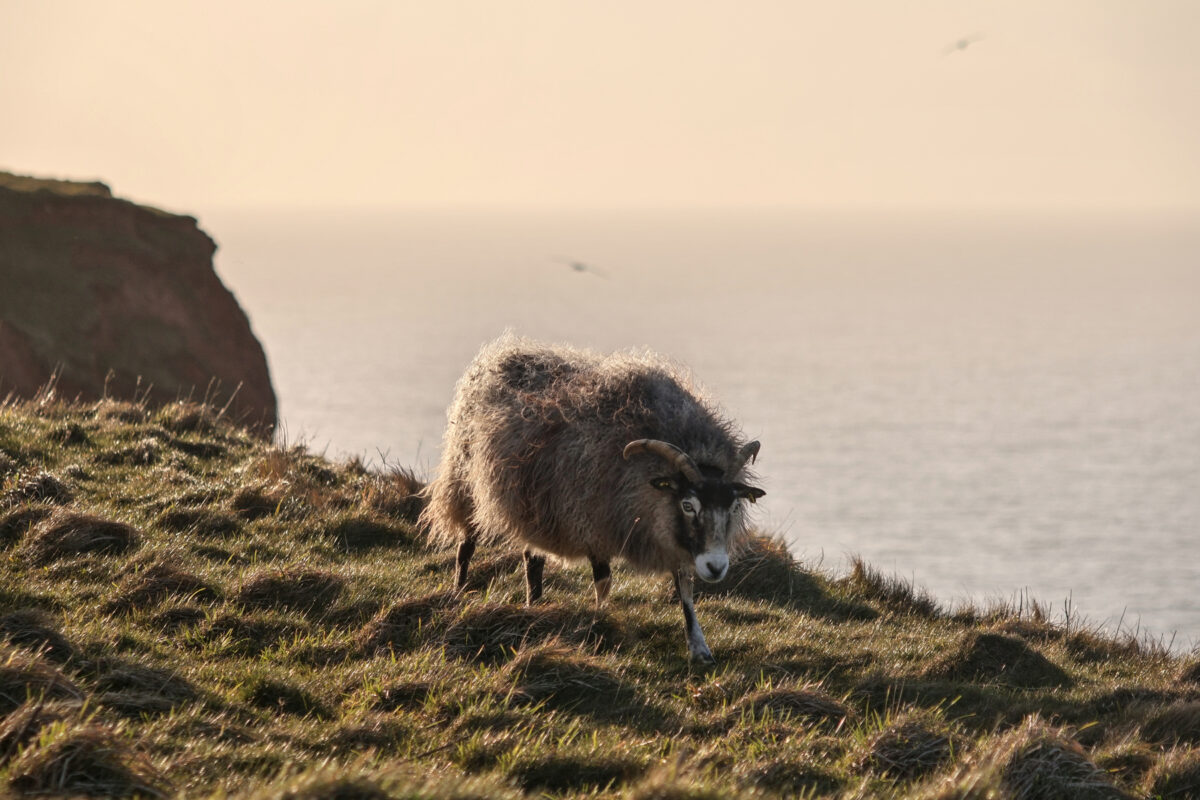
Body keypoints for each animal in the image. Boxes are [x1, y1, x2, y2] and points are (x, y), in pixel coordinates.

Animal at [421, 335, 765, 663]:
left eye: (733, 505)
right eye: (688, 505)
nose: (716, 567)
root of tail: (501, 353)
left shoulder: (673, 539)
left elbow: (685, 589)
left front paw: (699, 648)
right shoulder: (594, 523)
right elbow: (604, 582)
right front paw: (601, 625)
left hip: (534, 505)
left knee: (533, 558)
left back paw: (535, 604)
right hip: (466, 483)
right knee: (466, 544)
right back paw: (459, 590)